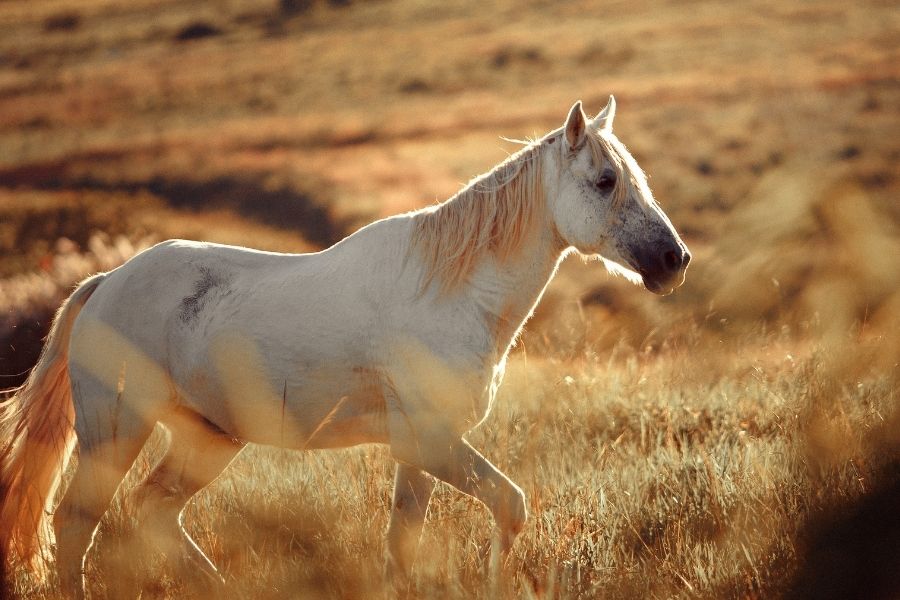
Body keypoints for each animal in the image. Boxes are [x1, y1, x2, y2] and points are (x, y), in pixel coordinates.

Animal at [0, 96, 692, 592]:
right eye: (604, 181)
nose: (673, 260)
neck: (450, 293)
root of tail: (106, 283)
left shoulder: (419, 451)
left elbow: (403, 547)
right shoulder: (431, 441)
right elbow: (510, 505)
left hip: (207, 439)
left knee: (153, 513)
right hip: (115, 431)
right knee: (76, 524)